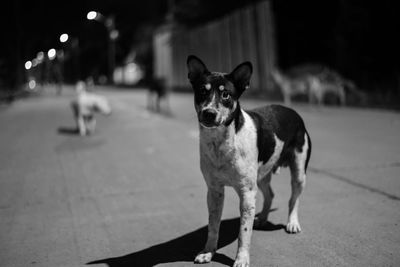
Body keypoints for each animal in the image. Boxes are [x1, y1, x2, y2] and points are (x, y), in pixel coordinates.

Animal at [188, 55, 312, 267]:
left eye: (226, 95)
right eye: (202, 91)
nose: (209, 113)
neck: (222, 143)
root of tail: (294, 112)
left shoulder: (246, 193)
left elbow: (243, 233)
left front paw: (242, 259)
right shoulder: (214, 191)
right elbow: (213, 226)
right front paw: (208, 252)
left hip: (298, 173)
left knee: (293, 199)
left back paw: (292, 223)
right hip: (261, 176)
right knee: (270, 194)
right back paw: (261, 218)